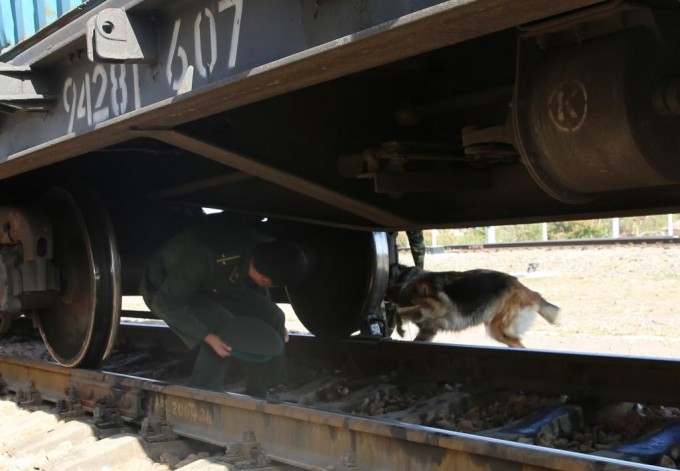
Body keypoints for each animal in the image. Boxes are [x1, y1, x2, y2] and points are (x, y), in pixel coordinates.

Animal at [386, 266, 560, 346]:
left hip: (497, 328)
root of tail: (529, 291)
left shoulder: (436, 307)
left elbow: (398, 311)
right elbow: (401, 312)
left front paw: (400, 330)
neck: (406, 280)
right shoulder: (428, 330)